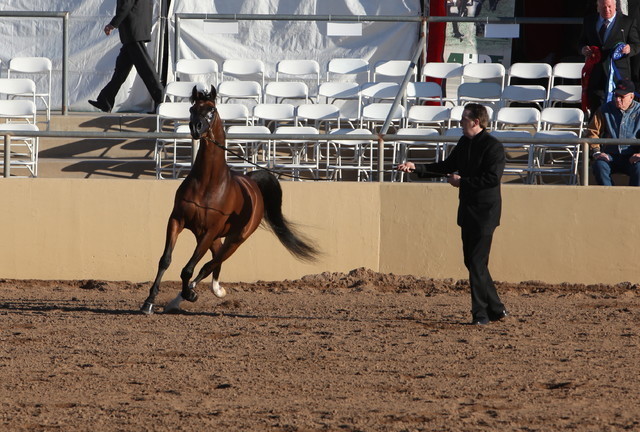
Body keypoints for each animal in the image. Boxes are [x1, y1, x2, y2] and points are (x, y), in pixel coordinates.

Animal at [141, 85, 319, 314]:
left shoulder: (210, 231)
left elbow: (188, 269)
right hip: (212, 237)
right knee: (214, 262)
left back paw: (189, 294)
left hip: (235, 239)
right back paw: (210, 291)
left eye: (212, 110)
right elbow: (165, 260)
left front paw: (189, 294)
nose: (196, 127)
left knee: (210, 264)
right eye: (191, 108)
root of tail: (252, 183)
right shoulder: (177, 221)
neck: (207, 184)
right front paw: (149, 301)